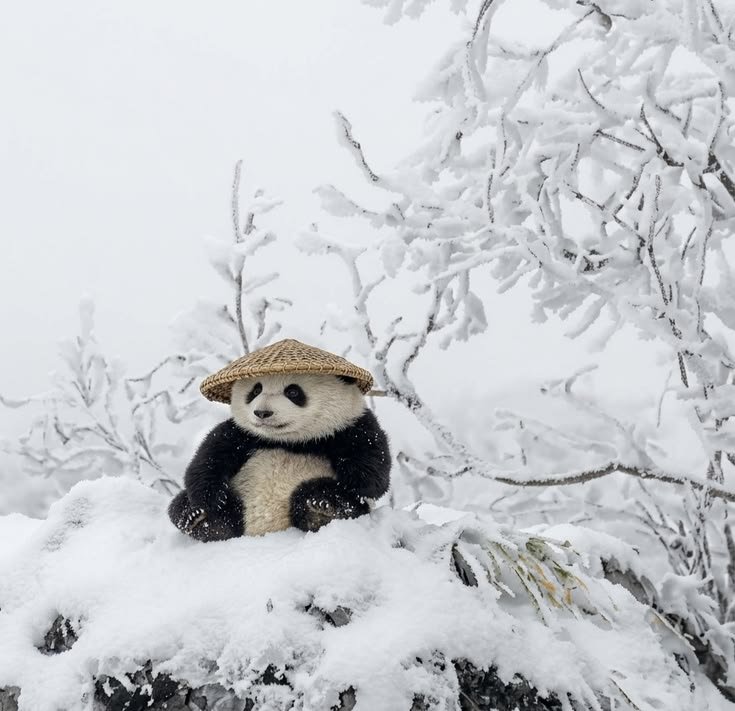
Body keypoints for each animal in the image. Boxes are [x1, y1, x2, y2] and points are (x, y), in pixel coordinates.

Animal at [168, 371, 391, 541]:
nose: (262, 413)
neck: (290, 440)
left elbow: (372, 476)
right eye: (255, 390)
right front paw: (212, 499)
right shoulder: (244, 435)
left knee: (325, 501)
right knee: (185, 506)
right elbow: (208, 458)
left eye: (293, 391)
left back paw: (322, 506)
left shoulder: (351, 429)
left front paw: (342, 491)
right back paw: (199, 518)